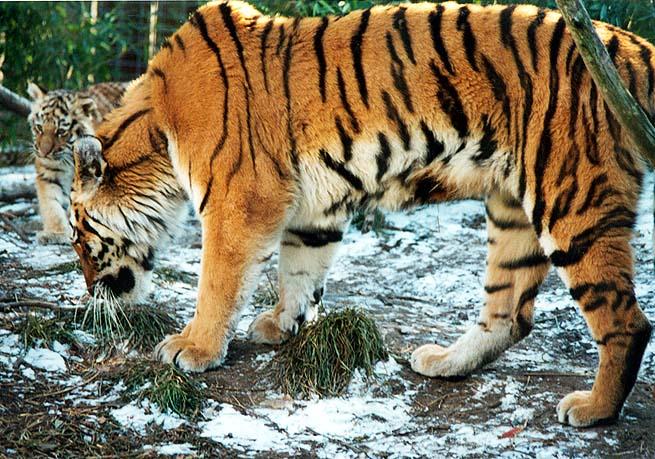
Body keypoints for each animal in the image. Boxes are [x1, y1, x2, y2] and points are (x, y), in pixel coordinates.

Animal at [69, 0, 652, 428]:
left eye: (78, 236)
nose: (90, 292)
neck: (158, 137)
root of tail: (633, 49)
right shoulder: (313, 209)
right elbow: (300, 271)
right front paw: (282, 325)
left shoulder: (240, 202)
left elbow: (217, 283)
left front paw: (194, 348)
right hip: (513, 207)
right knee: (511, 313)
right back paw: (443, 363)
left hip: (571, 198)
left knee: (628, 321)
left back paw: (594, 410)